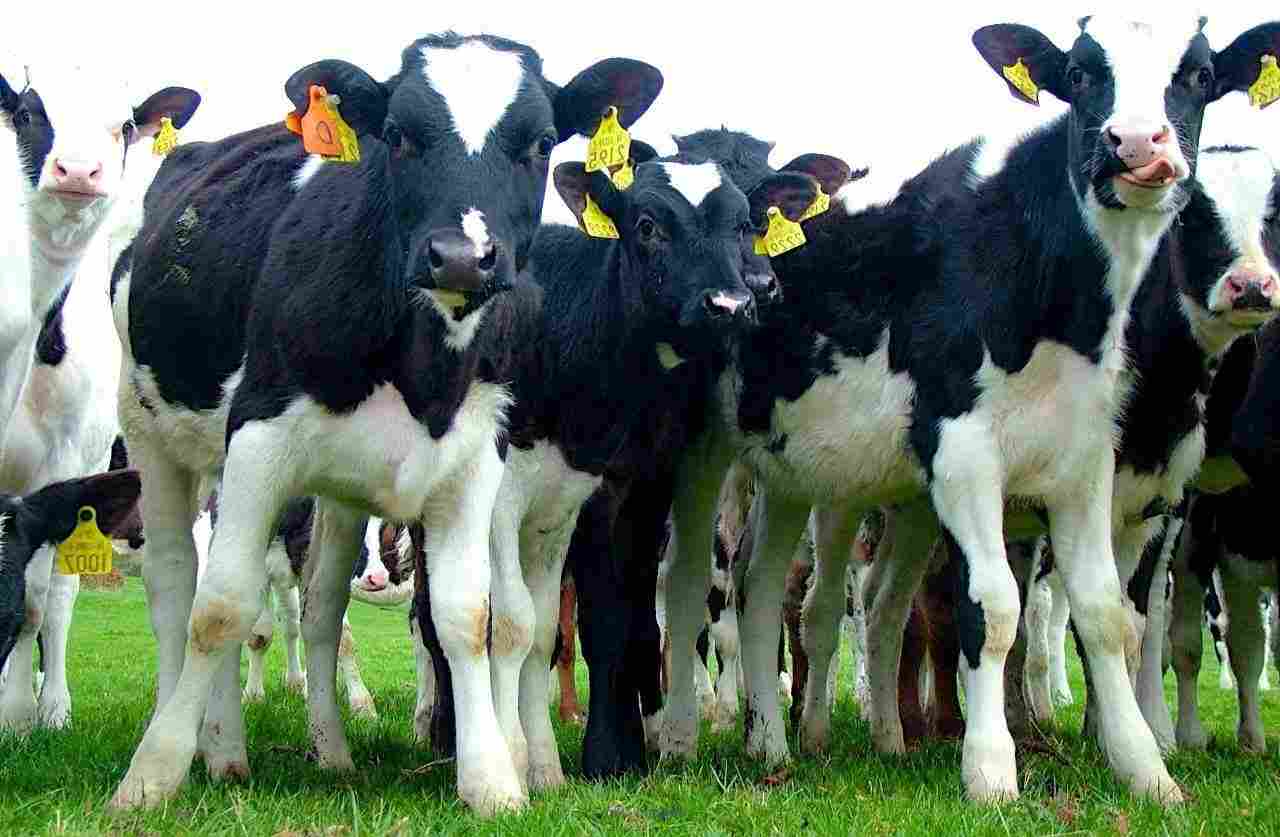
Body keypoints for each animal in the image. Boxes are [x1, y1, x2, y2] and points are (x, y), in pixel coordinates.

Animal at [0, 64, 199, 732]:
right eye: (29, 112)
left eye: (126, 125)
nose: (79, 171)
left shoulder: (64, 466)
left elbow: (38, 599)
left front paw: (19, 715)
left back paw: (50, 702)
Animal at [106, 35, 662, 815]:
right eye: (397, 134)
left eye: (541, 141)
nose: (462, 257)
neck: (422, 362)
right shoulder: (258, 438)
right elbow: (218, 609)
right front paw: (151, 775)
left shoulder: (476, 459)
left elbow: (467, 616)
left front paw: (492, 780)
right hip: (153, 433)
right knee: (176, 587)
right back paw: (194, 742)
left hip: (331, 493)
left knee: (317, 606)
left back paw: (284, 751)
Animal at [659, 16, 1280, 804]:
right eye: (1080, 73)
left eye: (1198, 76)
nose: (1137, 142)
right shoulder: (962, 454)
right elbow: (992, 609)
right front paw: (989, 769)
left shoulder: (1088, 464)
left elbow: (1105, 613)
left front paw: (1145, 767)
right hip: (705, 448)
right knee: (689, 584)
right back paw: (679, 736)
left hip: (792, 459)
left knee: (762, 587)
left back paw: (774, 742)